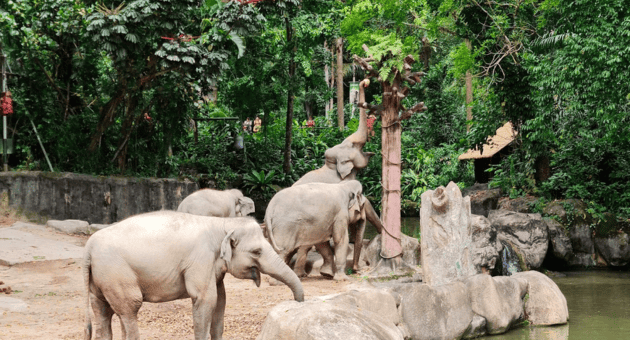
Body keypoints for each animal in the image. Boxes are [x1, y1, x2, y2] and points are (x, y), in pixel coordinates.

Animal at [82, 211, 304, 340]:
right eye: (257, 251)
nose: (298, 302)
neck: (222, 224)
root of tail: (88, 247)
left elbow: (221, 300)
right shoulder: (200, 259)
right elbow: (206, 299)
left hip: (100, 280)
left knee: (104, 313)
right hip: (117, 274)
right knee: (129, 309)